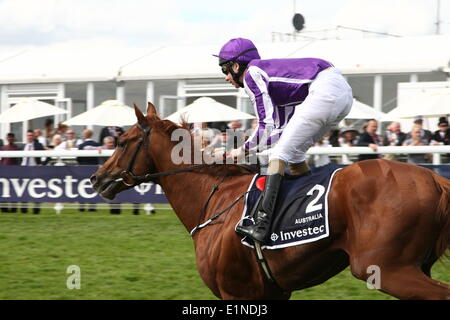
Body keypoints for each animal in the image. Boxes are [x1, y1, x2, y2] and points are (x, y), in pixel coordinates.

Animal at [89, 103, 448, 300]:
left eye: (121, 141)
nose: (96, 178)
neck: (215, 198)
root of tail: (433, 178)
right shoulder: (274, 291)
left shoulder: (236, 292)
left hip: (386, 268)